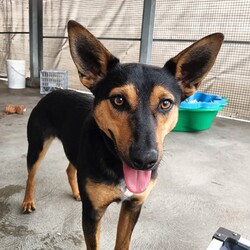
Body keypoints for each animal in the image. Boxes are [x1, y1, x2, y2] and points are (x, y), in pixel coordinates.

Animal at [22, 20, 224, 249]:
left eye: (165, 103)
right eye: (118, 100)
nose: (145, 161)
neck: (117, 165)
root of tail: (53, 91)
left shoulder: (133, 206)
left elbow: (123, 242)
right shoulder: (92, 213)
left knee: (69, 168)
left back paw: (76, 192)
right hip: (37, 146)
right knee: (31, 175)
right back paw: (28, 201)